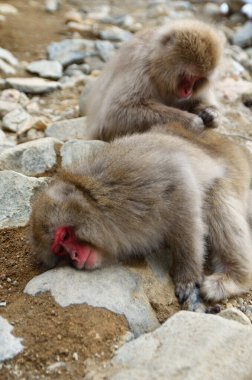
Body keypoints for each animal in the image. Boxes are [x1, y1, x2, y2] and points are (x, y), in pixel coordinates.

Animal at [30, 124, 252, 312]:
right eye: (60, 250)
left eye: (65, 237)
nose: (74, 256)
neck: (95, 205)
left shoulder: (131, 188)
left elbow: (181, 183)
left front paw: (187, 276)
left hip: (233, 177)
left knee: (215, 202)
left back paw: (235, 278)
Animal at [85, 19, 223, 141]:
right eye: (189, 76)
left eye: (198, 78)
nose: (188, 91)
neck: (155, 67)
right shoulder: (139, 68)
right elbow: (115, 112)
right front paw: (189, 121)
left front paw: (210, 113)